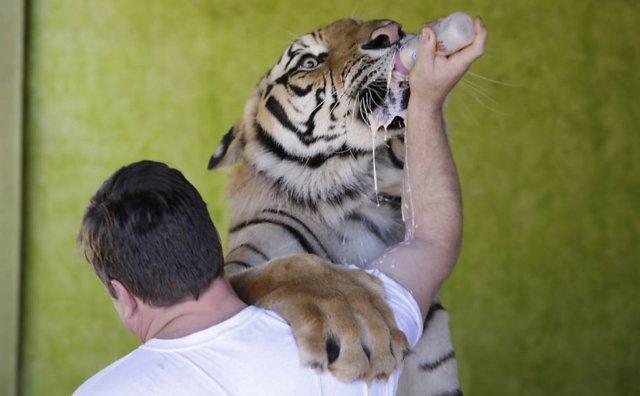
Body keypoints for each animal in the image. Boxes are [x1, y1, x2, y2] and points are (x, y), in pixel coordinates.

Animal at [208, 18, 462, 396]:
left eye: (356, 22)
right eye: (309, 62)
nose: (391, 31)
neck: (356, 195)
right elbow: (290, 270)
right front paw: (356, 321)